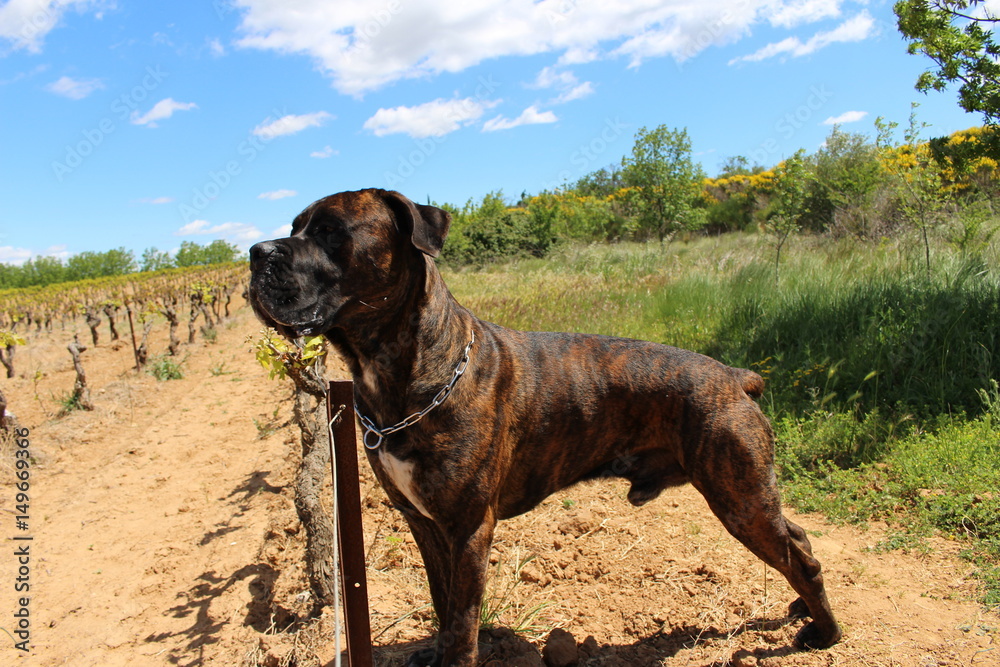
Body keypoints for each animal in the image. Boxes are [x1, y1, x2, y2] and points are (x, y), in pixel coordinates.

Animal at [248, 188, 842, 666]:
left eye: (330, 231)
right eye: (295, 226)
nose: (257, 253)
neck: (401, 369)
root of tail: (736, 377)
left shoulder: (468, 528)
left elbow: (462, 621)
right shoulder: (424, 523)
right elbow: (443, 604)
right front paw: (434, 651)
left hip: (738, 498)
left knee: (803, 559)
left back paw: (824, 633)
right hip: (748, 495)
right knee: (799, 538)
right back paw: (802, 610)